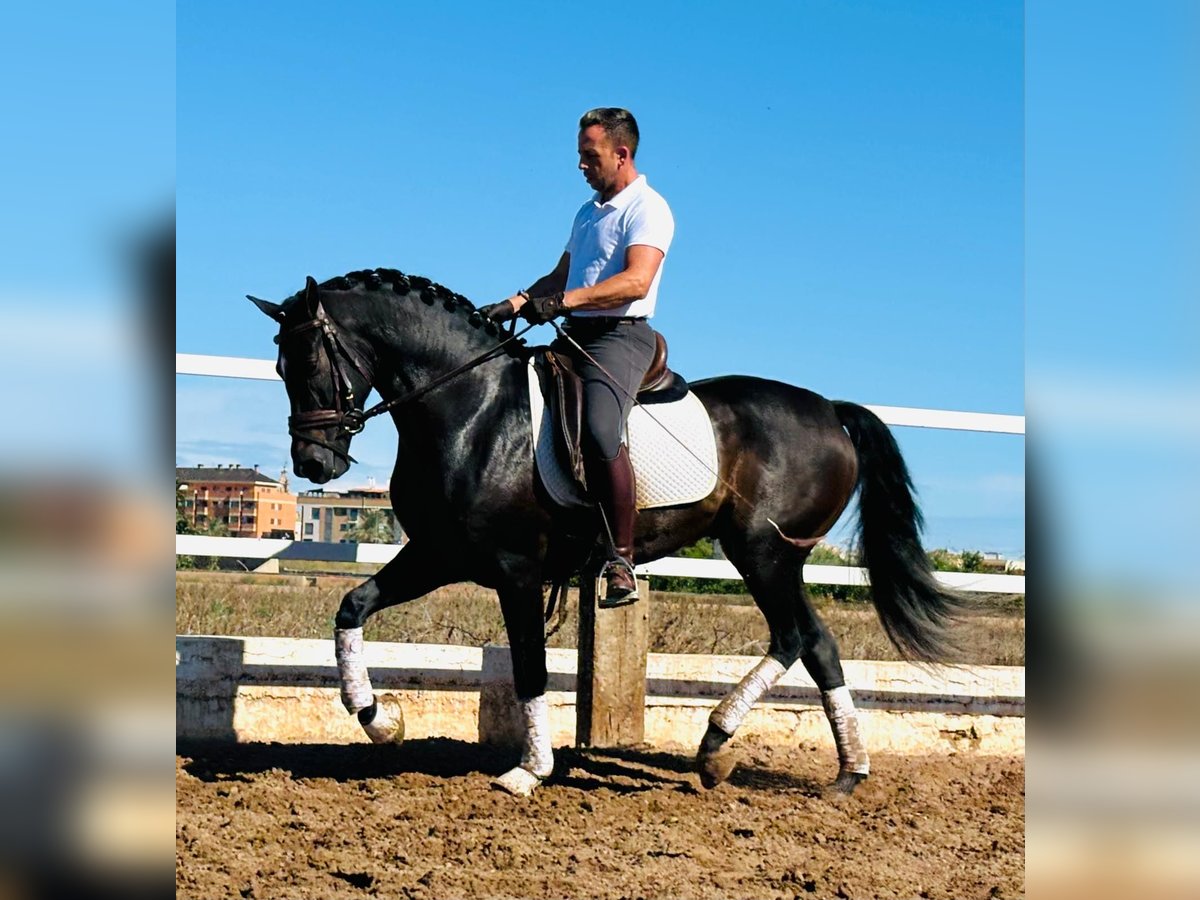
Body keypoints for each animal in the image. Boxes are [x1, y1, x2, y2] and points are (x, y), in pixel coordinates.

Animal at [253, 266, 964, 796]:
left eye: (311, 361)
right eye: (281, 369)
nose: (314, 464)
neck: (474, 412)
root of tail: (829, 410)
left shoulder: (516, 569)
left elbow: (531, 668)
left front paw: (529, 770)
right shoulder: (440, 553)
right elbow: (353, 607)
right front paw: (382, 720)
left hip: (763, 553)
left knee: (795, 638)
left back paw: (733, 747)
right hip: (775, 559)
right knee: (816, 644)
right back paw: (827, 769)